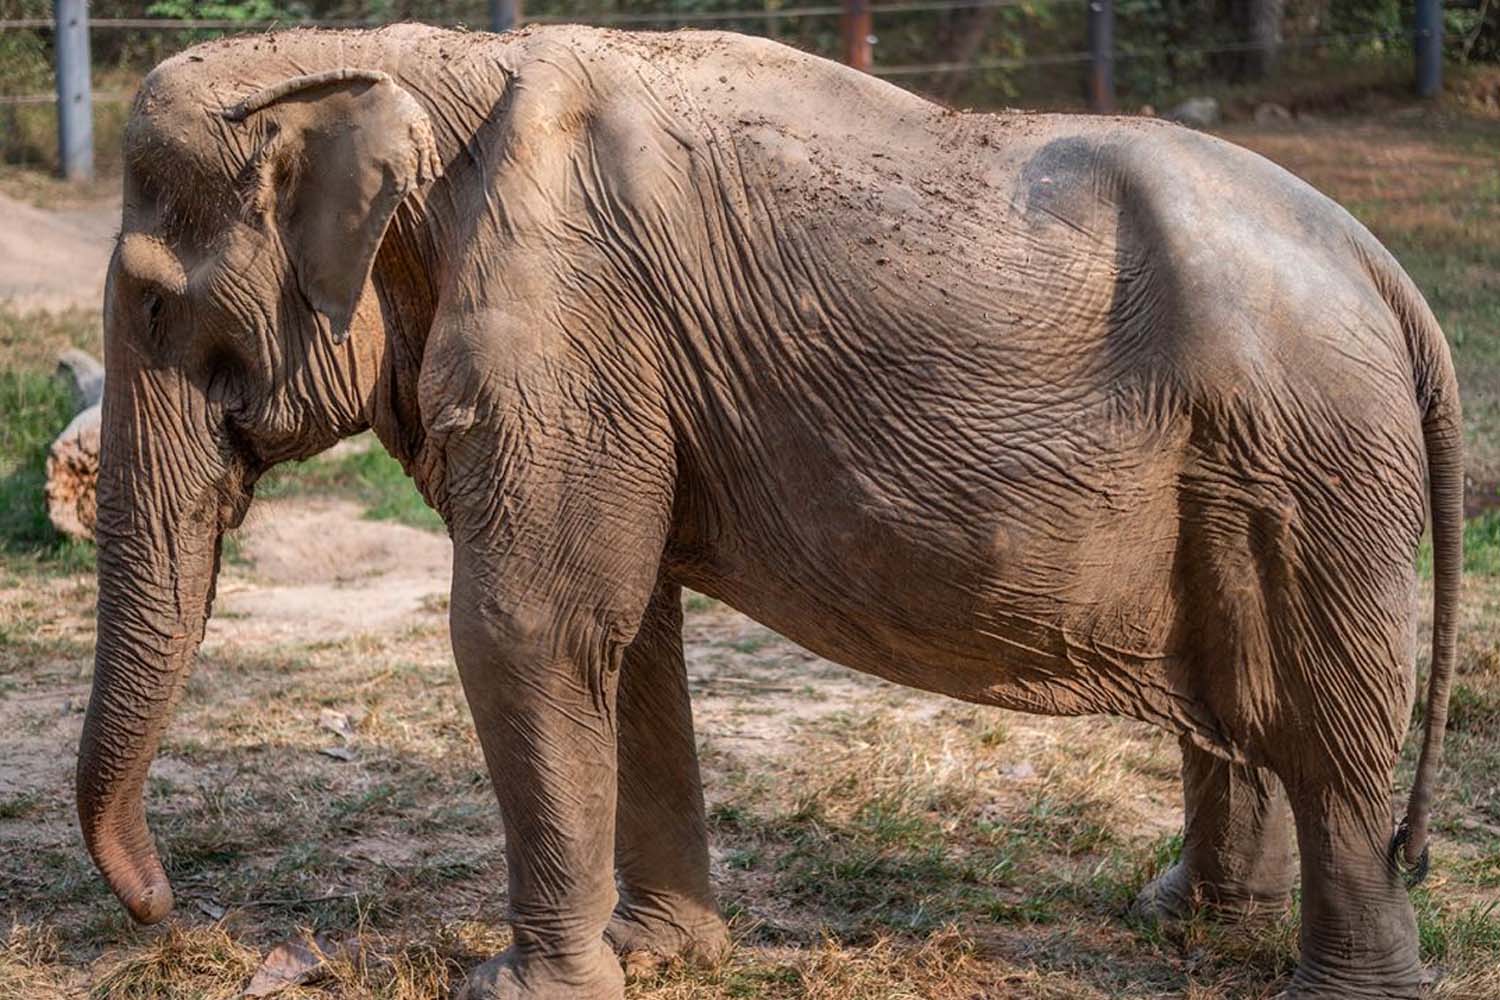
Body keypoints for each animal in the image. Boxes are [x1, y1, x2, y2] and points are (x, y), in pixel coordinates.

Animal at [76, 23, 1458, 1000]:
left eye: (152, 307)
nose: (170, 910)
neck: (415, 60)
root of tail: (1387, 271)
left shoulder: (570, 323)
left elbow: (528, 626)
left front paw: (515, 988)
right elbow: (627, 636)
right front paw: (664, 956)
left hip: (1314, 460)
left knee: (1328, 725)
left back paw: (1337, 986)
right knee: (1250, 702)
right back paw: (1180, 919)